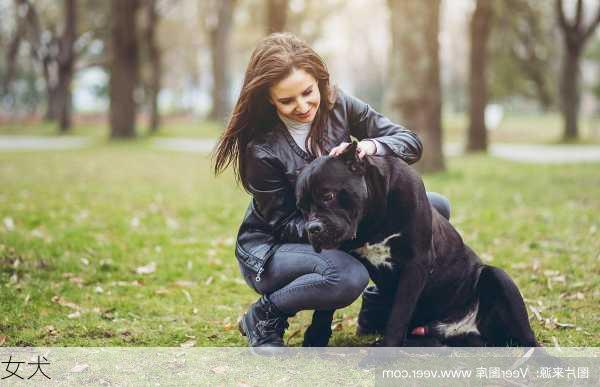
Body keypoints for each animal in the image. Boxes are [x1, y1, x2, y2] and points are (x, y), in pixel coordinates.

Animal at [296, 142, 540, 348]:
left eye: (328, 195)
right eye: (302, 208)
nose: (312, 228)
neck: (372, 218)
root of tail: (462, 328)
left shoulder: (415, 264)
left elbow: (400, 313)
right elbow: (326, 307)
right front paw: (315, 337)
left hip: (498, 277)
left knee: (529, 340)